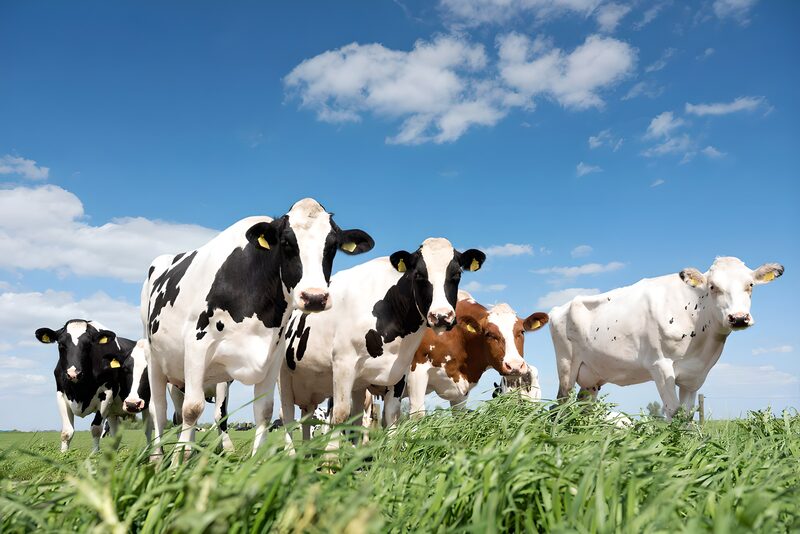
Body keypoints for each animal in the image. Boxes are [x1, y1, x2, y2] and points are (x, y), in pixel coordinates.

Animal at [35, 320, 152, 452]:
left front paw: (94, 454)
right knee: (116, 434)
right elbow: (67, 432)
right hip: (114, 412)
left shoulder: (107, 394)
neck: (79, 391)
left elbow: (96, 429)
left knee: (148, 429)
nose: (73, 374)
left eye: (88, 346)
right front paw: (63, 454)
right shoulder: (61, 394)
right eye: (61, 345)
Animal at [141, 198, 374, 458]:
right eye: (286, 242)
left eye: (332, 246)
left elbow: (264, 410)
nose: (315, 297)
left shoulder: (273, 356)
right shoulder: (197, 345)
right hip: (155, 358)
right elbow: (192, 408)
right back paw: (159, 457)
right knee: (160, 410)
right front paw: (176, 464)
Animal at [278, 237, 485, 445]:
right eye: (418, 275)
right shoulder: (343, 364)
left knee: (315, 419)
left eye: (457, 274)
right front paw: (332, 455)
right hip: (284, 378)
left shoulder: (400, 371)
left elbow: (391, 415)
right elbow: (341, 414)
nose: (441, 316)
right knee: (287, 418)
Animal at [379, 291, 548, 425]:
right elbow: (417, 415)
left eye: (521, 332)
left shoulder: (462, 386)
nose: (515, 366)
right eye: (489, 334)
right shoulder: (417, 371)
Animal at [550, 257, 784, 420]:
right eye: (713, 287)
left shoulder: (695, 376)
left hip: (592, 376)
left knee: (584, 408)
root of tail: (558, 308)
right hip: (566, 366)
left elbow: (687, 415)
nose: (739, 318)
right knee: (560, 404)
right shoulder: (660, 365)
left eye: (750, 285)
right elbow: (674, 412)